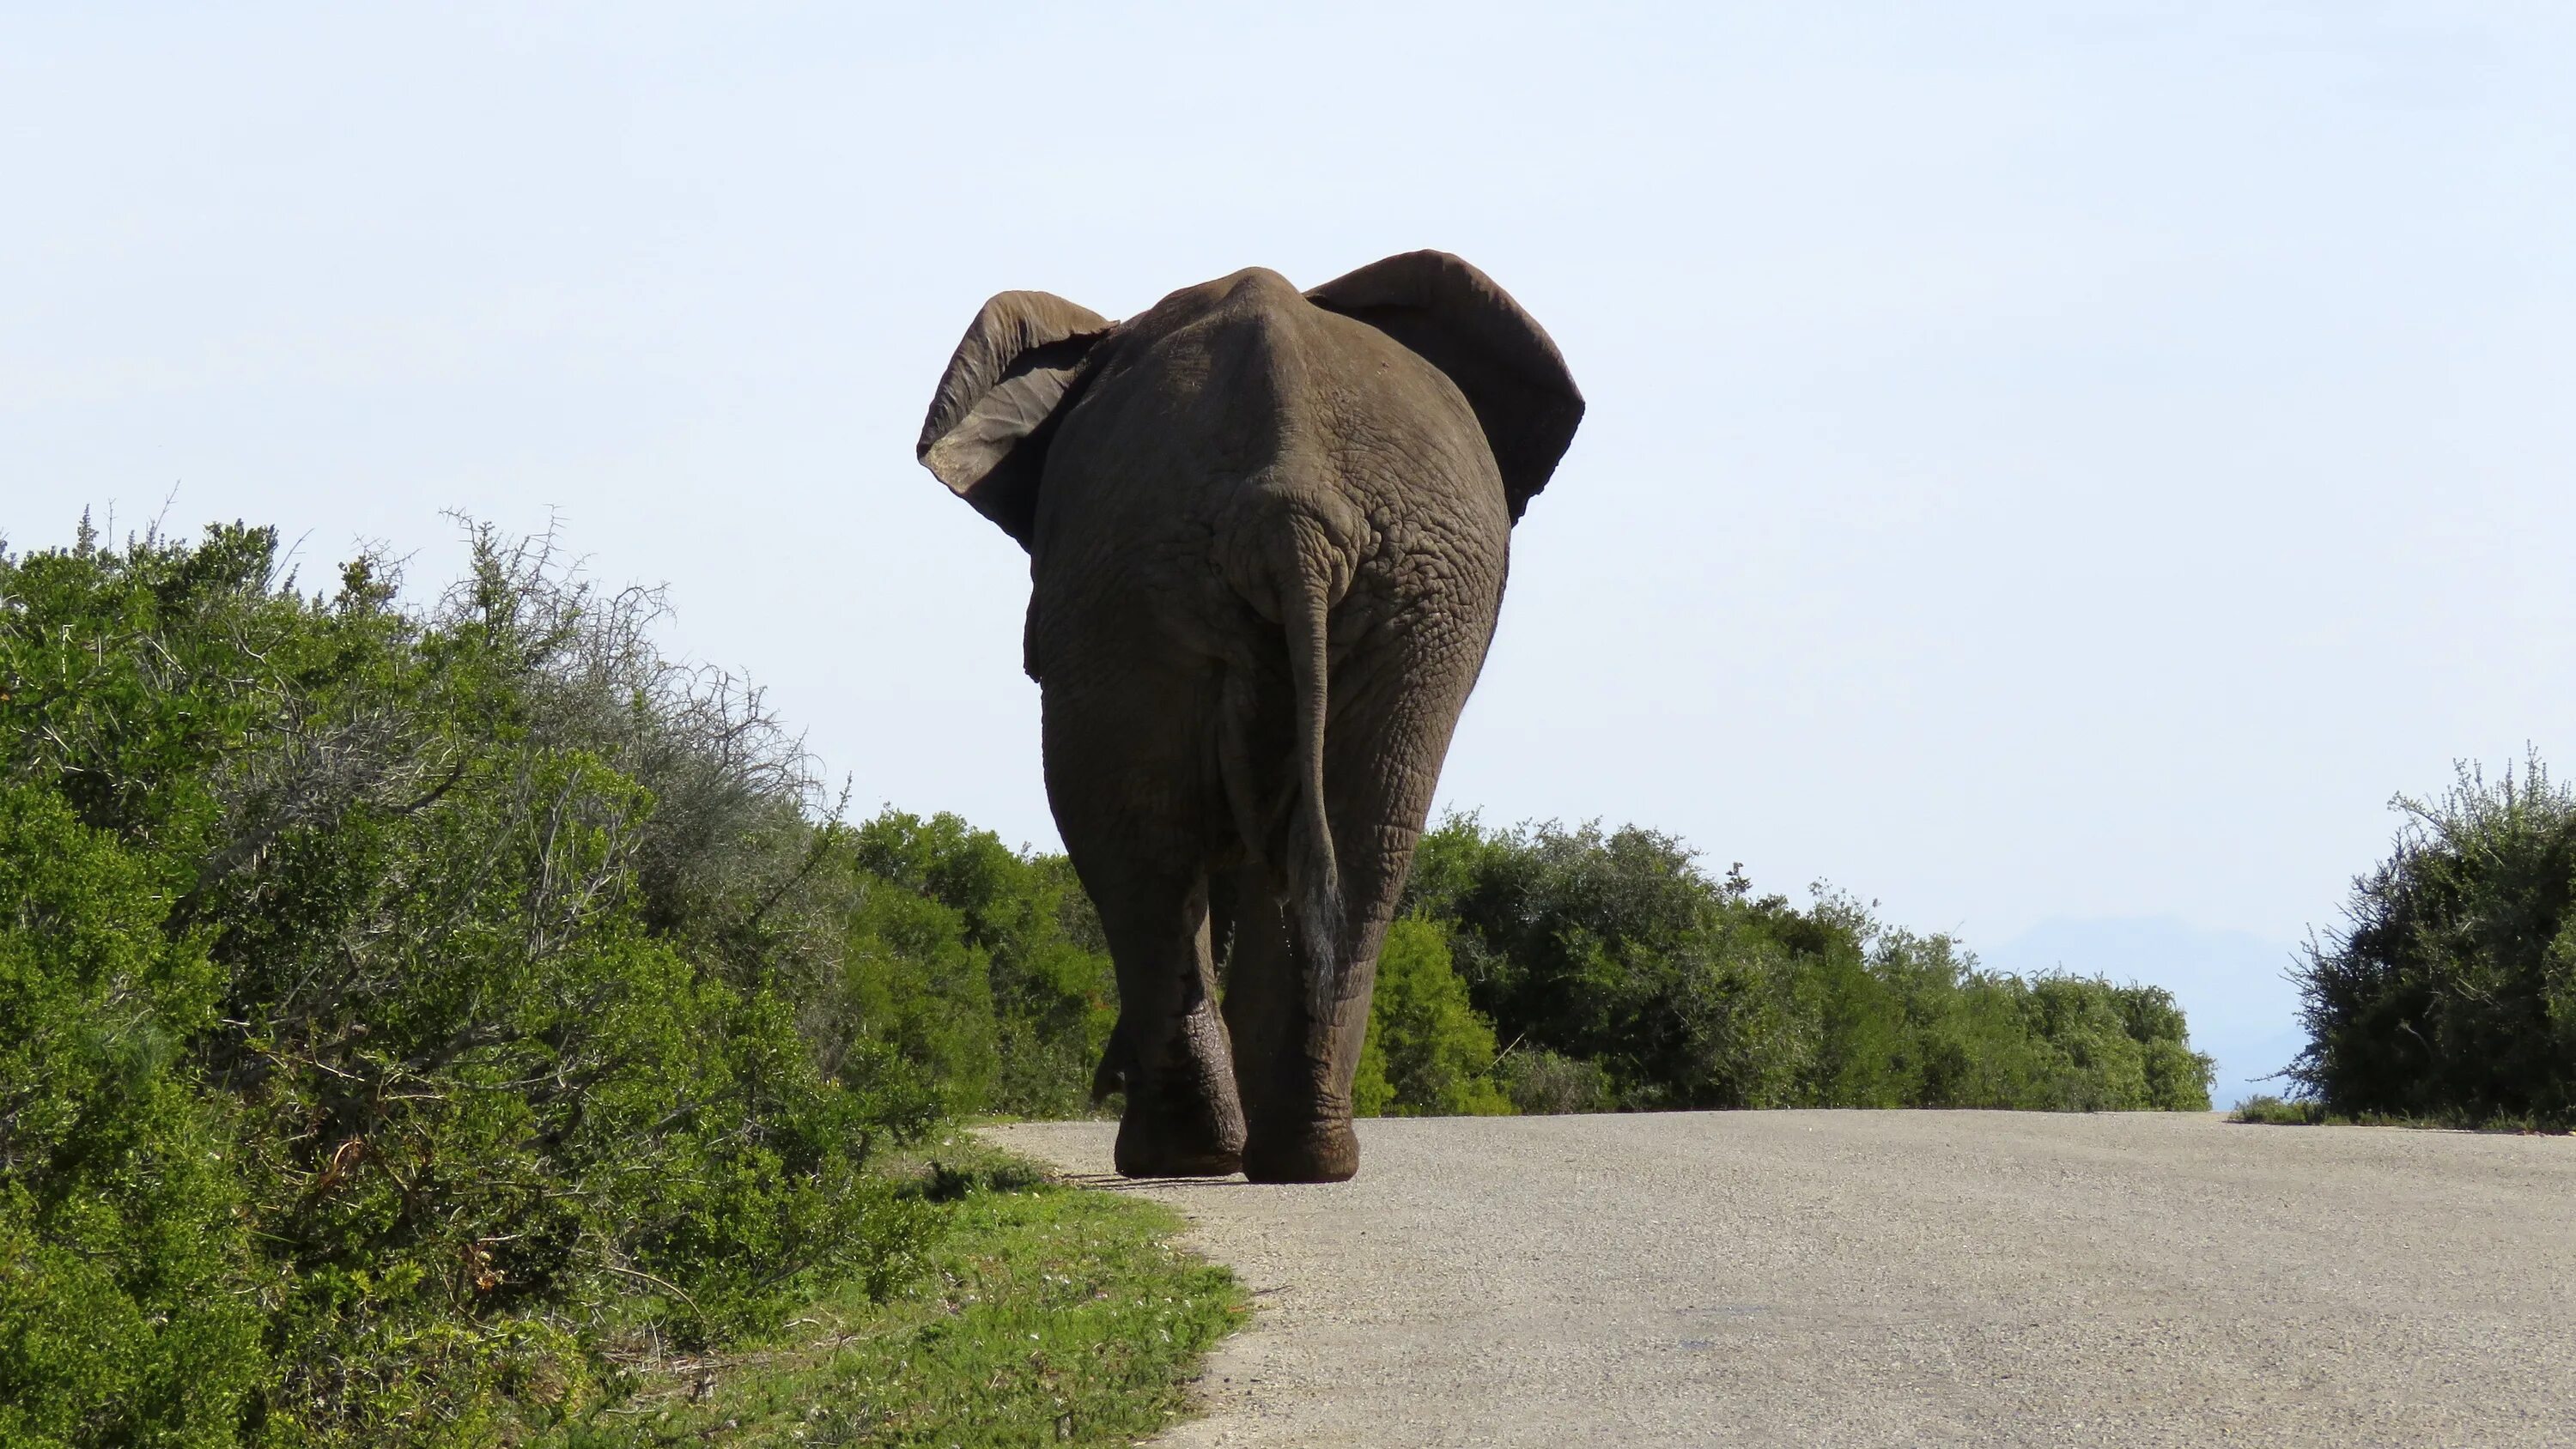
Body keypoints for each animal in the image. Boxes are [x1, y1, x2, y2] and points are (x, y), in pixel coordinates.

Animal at [917, 249, 1577, 1179]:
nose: (1100, 1078)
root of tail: (1291, 497)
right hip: (1368, 590)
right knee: (1353, 830)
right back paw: (1288, 1157)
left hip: (1182, 577)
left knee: (1139, 827)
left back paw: (1188, 1156)